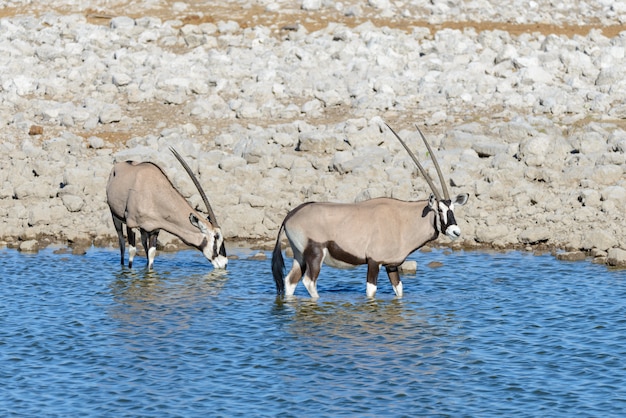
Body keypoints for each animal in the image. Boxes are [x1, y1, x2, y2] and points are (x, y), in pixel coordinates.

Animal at [270, 122, 466, 298]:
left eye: (452, 208)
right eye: (439, 210)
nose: (456, 232)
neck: (403, 219)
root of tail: (290, 215)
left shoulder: (391, 265)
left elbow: (399, 291)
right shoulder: (373, 262)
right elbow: (371, 292)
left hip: (300, 257)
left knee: (290, 282)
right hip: (315, 254)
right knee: (309, 282)